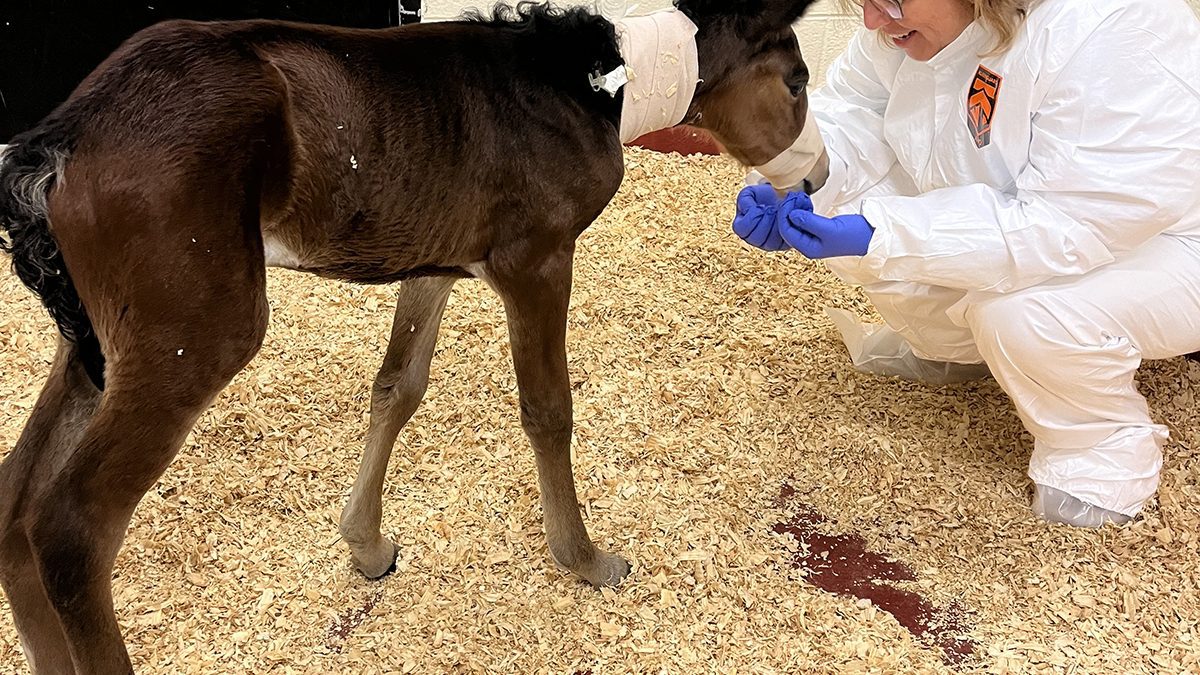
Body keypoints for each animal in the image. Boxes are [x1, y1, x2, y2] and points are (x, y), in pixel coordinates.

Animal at [0, 0, 823, 671]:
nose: (815, 179)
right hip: (193, 330)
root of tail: (63, 135)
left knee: (16, 497)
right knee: (71, 525)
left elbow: (398, 386)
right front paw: (585, 559)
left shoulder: (438, 260)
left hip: (97, 343)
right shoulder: (536, 258)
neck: (585, 84)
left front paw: (367, 545)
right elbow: (547, 409)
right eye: (796, 81)